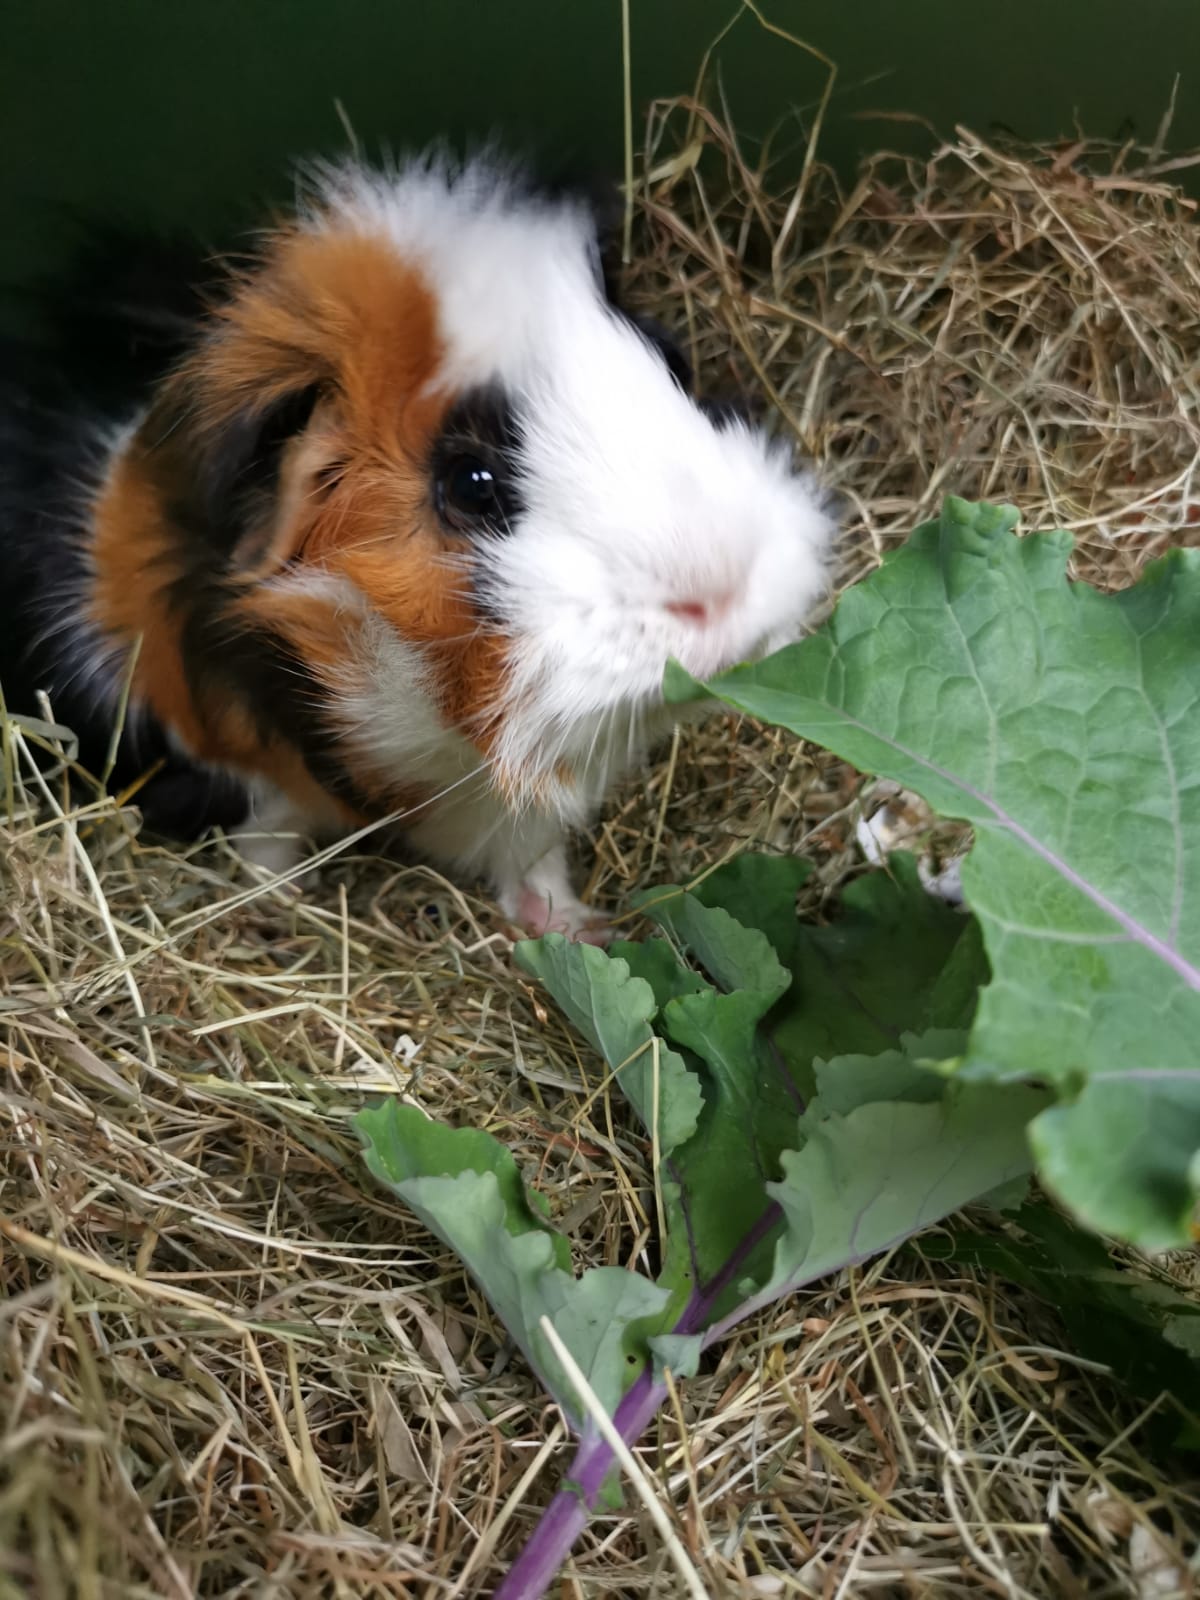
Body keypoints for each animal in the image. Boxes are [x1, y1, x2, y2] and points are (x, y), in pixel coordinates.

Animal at [0, 151, 831, 939]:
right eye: (472, 483)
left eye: (675, 366)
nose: (725, 590)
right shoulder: (244, 773)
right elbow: (266, 842)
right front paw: (279, 910)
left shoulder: (520, 810)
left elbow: (534, 860)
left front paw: (578, 930)